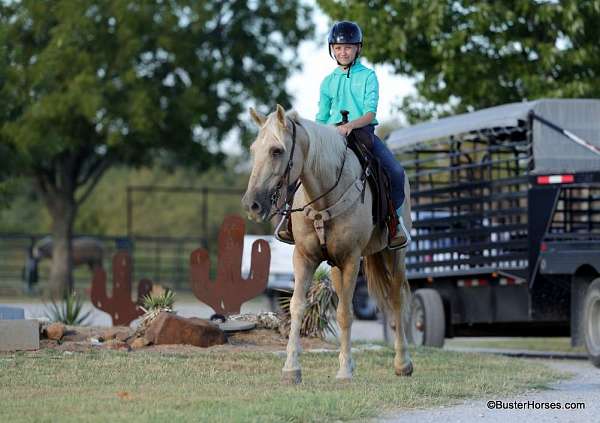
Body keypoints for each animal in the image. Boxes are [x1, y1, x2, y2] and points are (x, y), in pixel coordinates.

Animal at [243, 106, 412, 384]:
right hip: (334, 267)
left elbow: (345, 313)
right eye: (253, 149)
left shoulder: (352, 259)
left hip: (394, 255)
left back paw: (403, 363)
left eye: (277, 151)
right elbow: (297, 307)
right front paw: (291, 369)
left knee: (397, 299)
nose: (252, 204)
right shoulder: (304, 258)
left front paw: (344, 372)